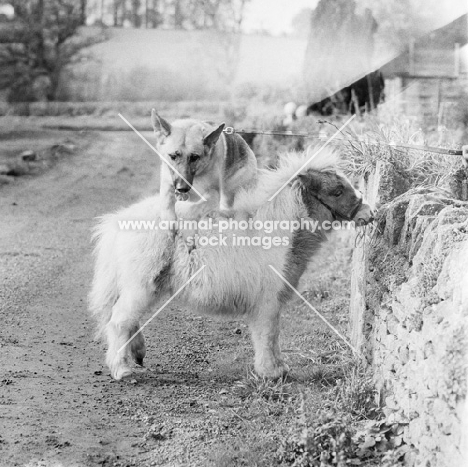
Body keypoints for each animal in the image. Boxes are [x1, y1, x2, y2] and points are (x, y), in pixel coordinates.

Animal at [89, 148, 374, 382]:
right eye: (337, 191)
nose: (369, 213)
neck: (276, 229)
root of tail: (117, 221)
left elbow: (269, 337)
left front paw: (278, 369)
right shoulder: (266, 301)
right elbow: (267, 335)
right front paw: (272, 373)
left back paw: (137, 354)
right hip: (140, 285)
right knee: (119, 321)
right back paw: (122, 370)